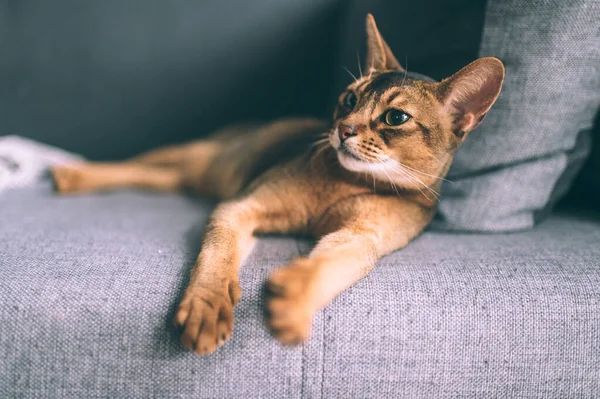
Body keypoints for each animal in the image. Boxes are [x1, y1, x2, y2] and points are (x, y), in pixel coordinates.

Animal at [51, 14, 504, 356]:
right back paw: (72, 173)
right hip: (200, 154)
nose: (343, 128)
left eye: (396, 118)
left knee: (160, 177)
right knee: (138, 164)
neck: (346, 181)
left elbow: (332, 264)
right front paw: (206, 306)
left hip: (197, 174)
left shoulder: (364, 238)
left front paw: (294, 299)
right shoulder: (239, 207)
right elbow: (217, 255)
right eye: (349, 99)